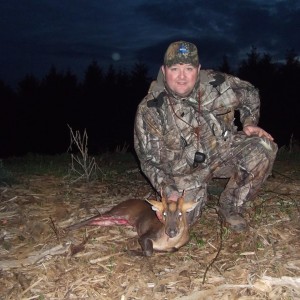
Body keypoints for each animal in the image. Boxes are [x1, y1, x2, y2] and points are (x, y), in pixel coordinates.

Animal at [67, 196, 197, 256]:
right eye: (164, 214)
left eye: (180, 214)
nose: (172, 231)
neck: (168, 242)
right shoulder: (146, 235)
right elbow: (148, 252)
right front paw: (130, 251)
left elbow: (173, 249)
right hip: (120, 212)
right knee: (97, 216)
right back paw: (69, 227)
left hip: (119, 220)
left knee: (99, 220)